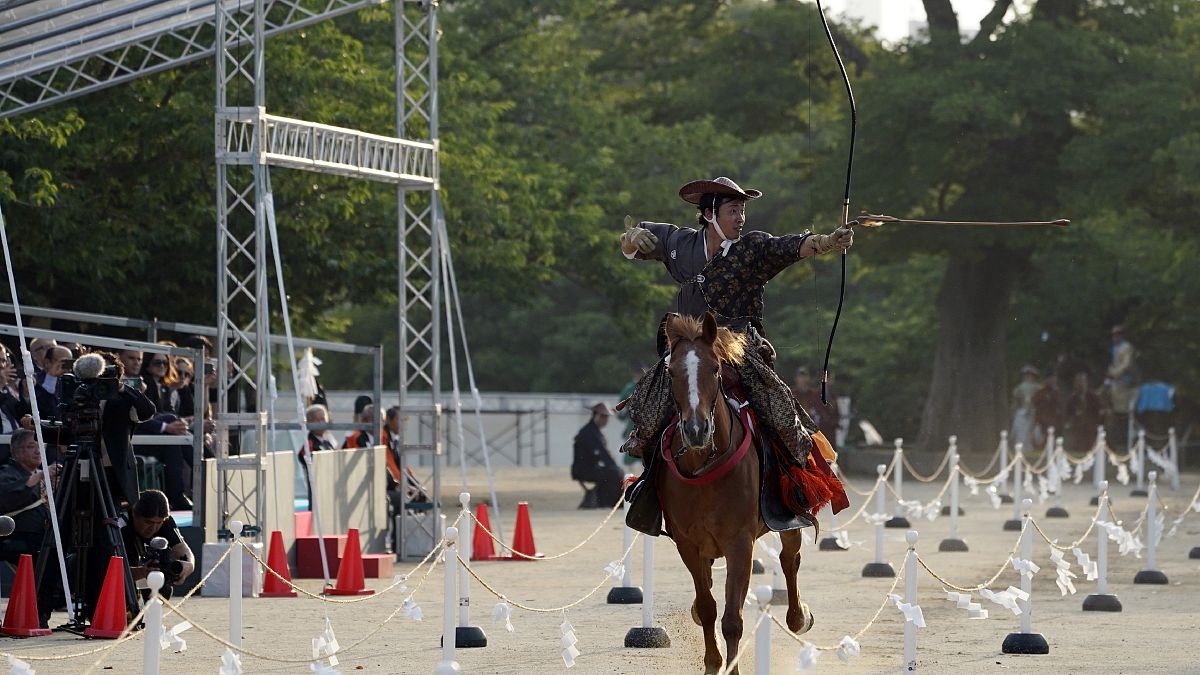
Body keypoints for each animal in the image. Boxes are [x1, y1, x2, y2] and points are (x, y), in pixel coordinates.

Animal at [657, 312, 816, 667]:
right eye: (671, 372)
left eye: (715, 368)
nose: (696, 429)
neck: (704, 468)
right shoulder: (687, 544)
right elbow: (707, 606)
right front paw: (713, 662)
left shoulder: (740, 543)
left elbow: (732, 620)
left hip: (788, 515)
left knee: (790, 557)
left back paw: (798, 617)